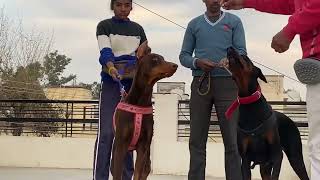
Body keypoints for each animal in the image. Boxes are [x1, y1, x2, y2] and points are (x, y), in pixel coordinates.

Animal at [110, 41, 178, 179]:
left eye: (163, 58)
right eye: (155, 59)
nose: (175, 65)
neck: (141, 101)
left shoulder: (143, 146)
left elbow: (137, 173)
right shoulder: (121, 145)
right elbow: (118, 173)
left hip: (147, 160)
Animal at [226, 47, 308, 180]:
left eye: (245, 57)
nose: (229, 48)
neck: (250, 103)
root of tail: (290, 120)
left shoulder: (277, 155)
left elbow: (275, 174)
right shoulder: (245, 159)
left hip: (294, 156)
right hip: (264, 166)